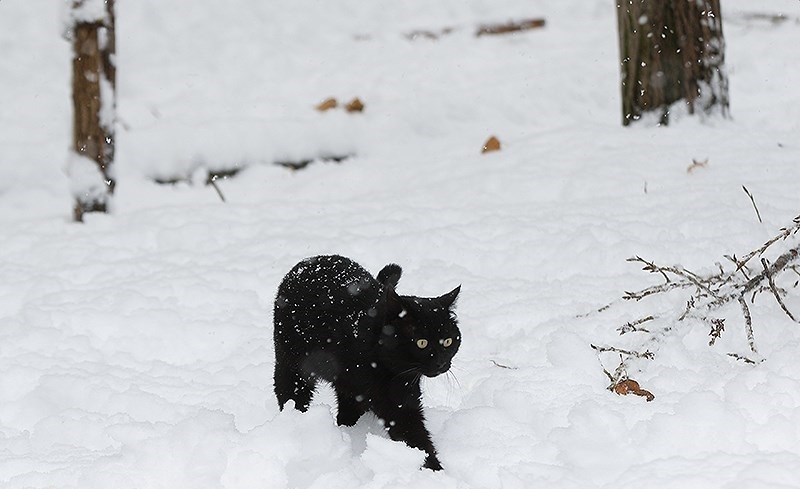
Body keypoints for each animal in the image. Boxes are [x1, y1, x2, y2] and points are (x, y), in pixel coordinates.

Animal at [276, 255, 462, 468]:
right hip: (291, 366)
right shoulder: (393, 404)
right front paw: (433, 469)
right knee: (289, 394)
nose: (441, 363)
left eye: (448, 341)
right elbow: (413, 435)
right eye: (421, 343)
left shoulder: (402, 396)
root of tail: (312, 259)